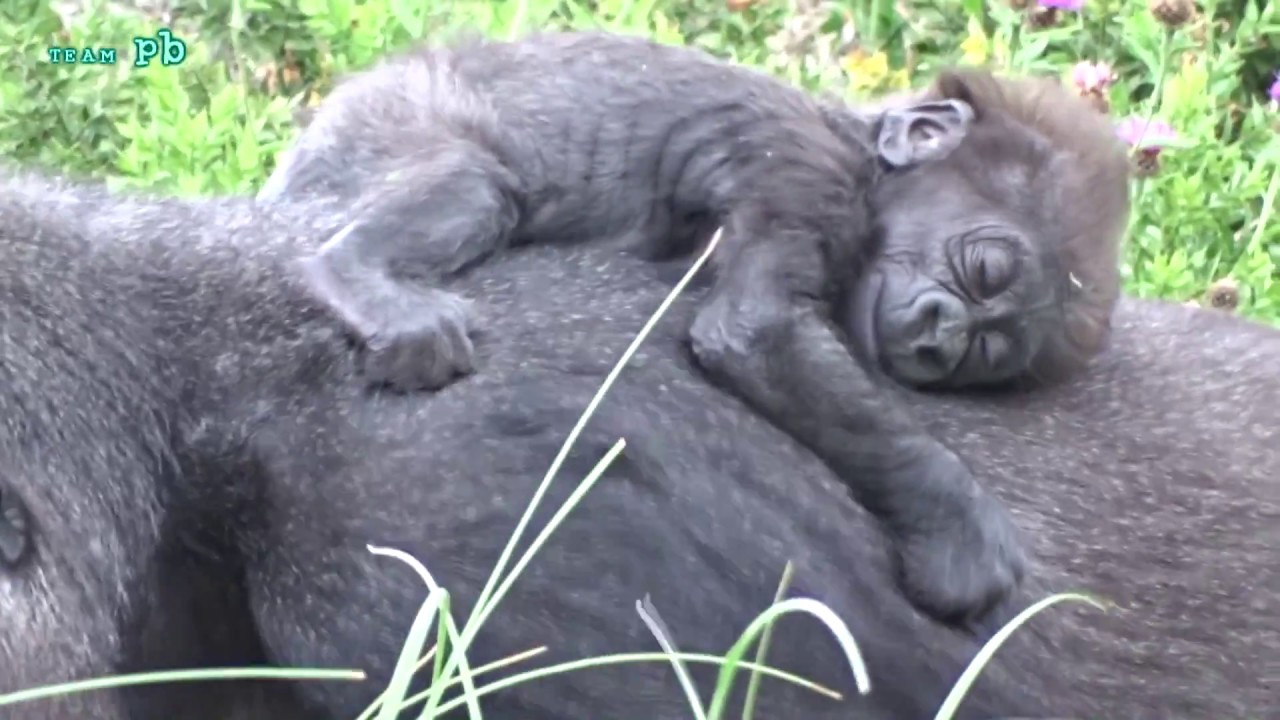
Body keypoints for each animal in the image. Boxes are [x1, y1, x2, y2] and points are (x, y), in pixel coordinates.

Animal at [257, 31, 1132, 627]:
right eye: (982, 271)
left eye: (986, 350)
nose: (939, 339)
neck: (857, 142)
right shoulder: (806, 171)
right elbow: (756, 332)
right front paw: (959, 526)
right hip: (385, 118)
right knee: (471, 185)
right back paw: (353, 274)